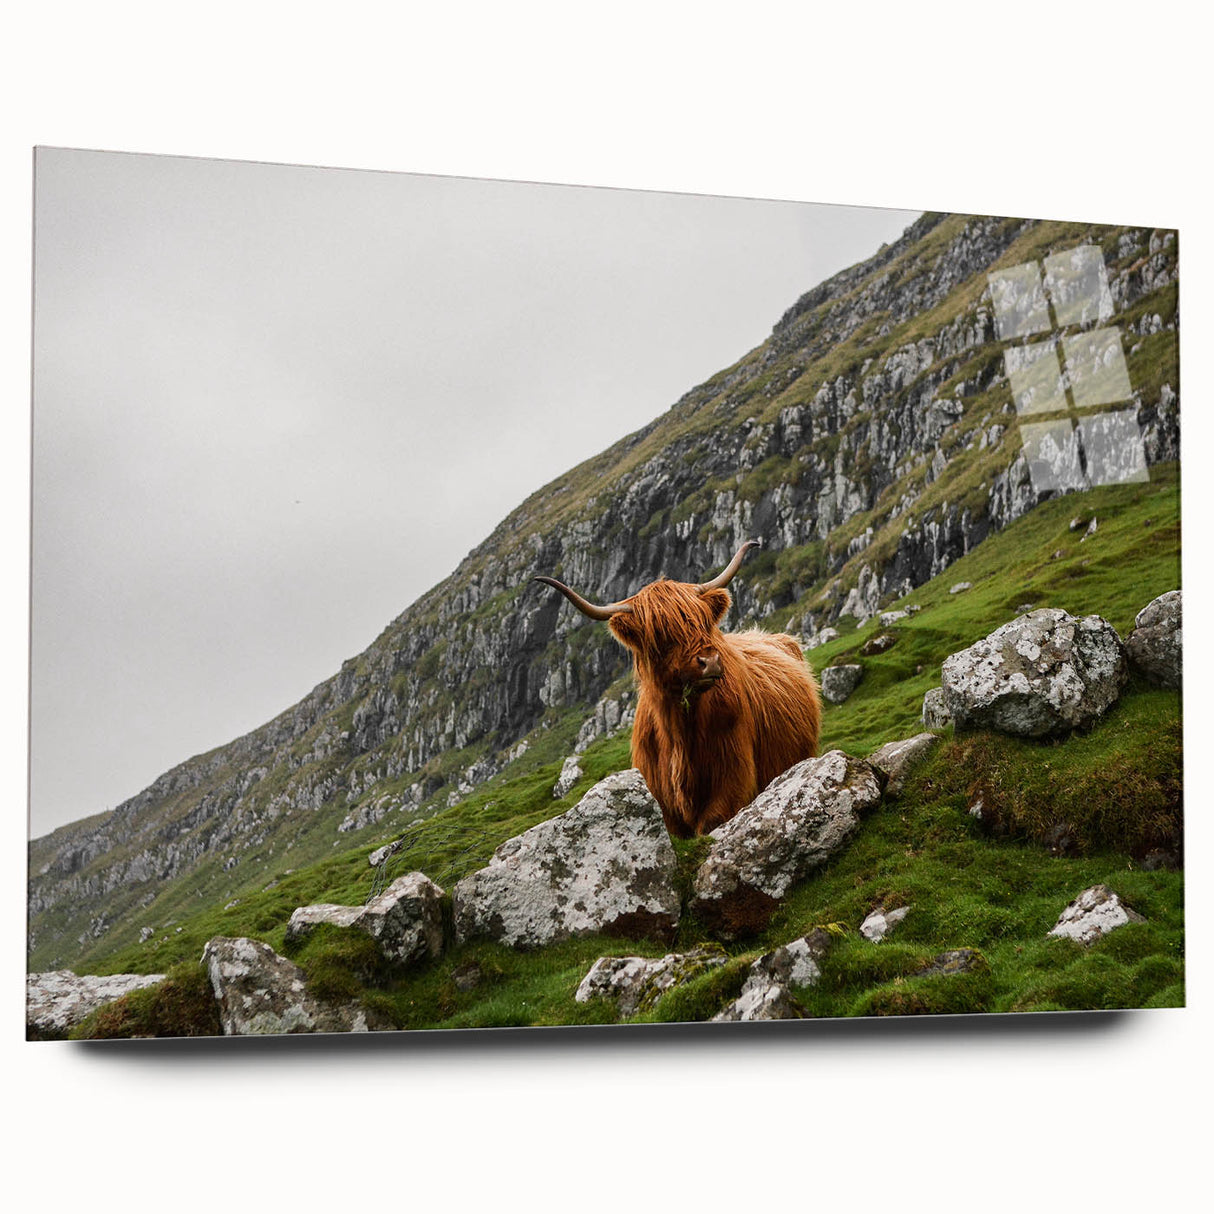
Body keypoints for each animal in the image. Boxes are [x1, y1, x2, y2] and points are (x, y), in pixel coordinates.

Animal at [535, 539, 821, 838]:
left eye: (704, 621)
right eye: (661, 634)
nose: (710, 662)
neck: (679, 734)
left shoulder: (732, 781)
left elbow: (711, 822)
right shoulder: (662, 803)